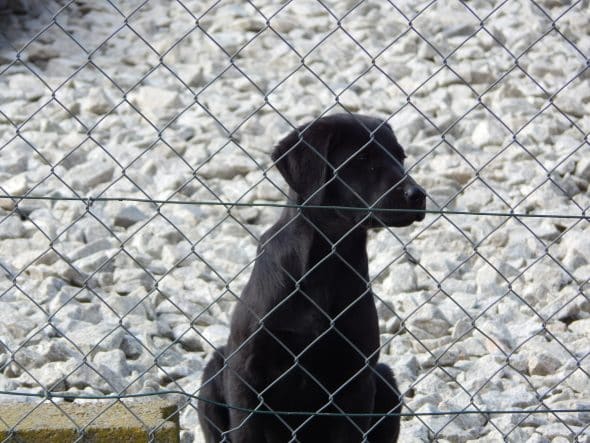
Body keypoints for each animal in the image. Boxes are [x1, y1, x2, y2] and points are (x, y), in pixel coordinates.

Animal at [199, 112, 426, 442]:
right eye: (363, 158)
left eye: (400, 157)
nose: (418, 195)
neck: (326, 261)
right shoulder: (245, 374)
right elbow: (246, 431)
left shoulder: (356, 379)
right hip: (215, 369)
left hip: (385, 380)